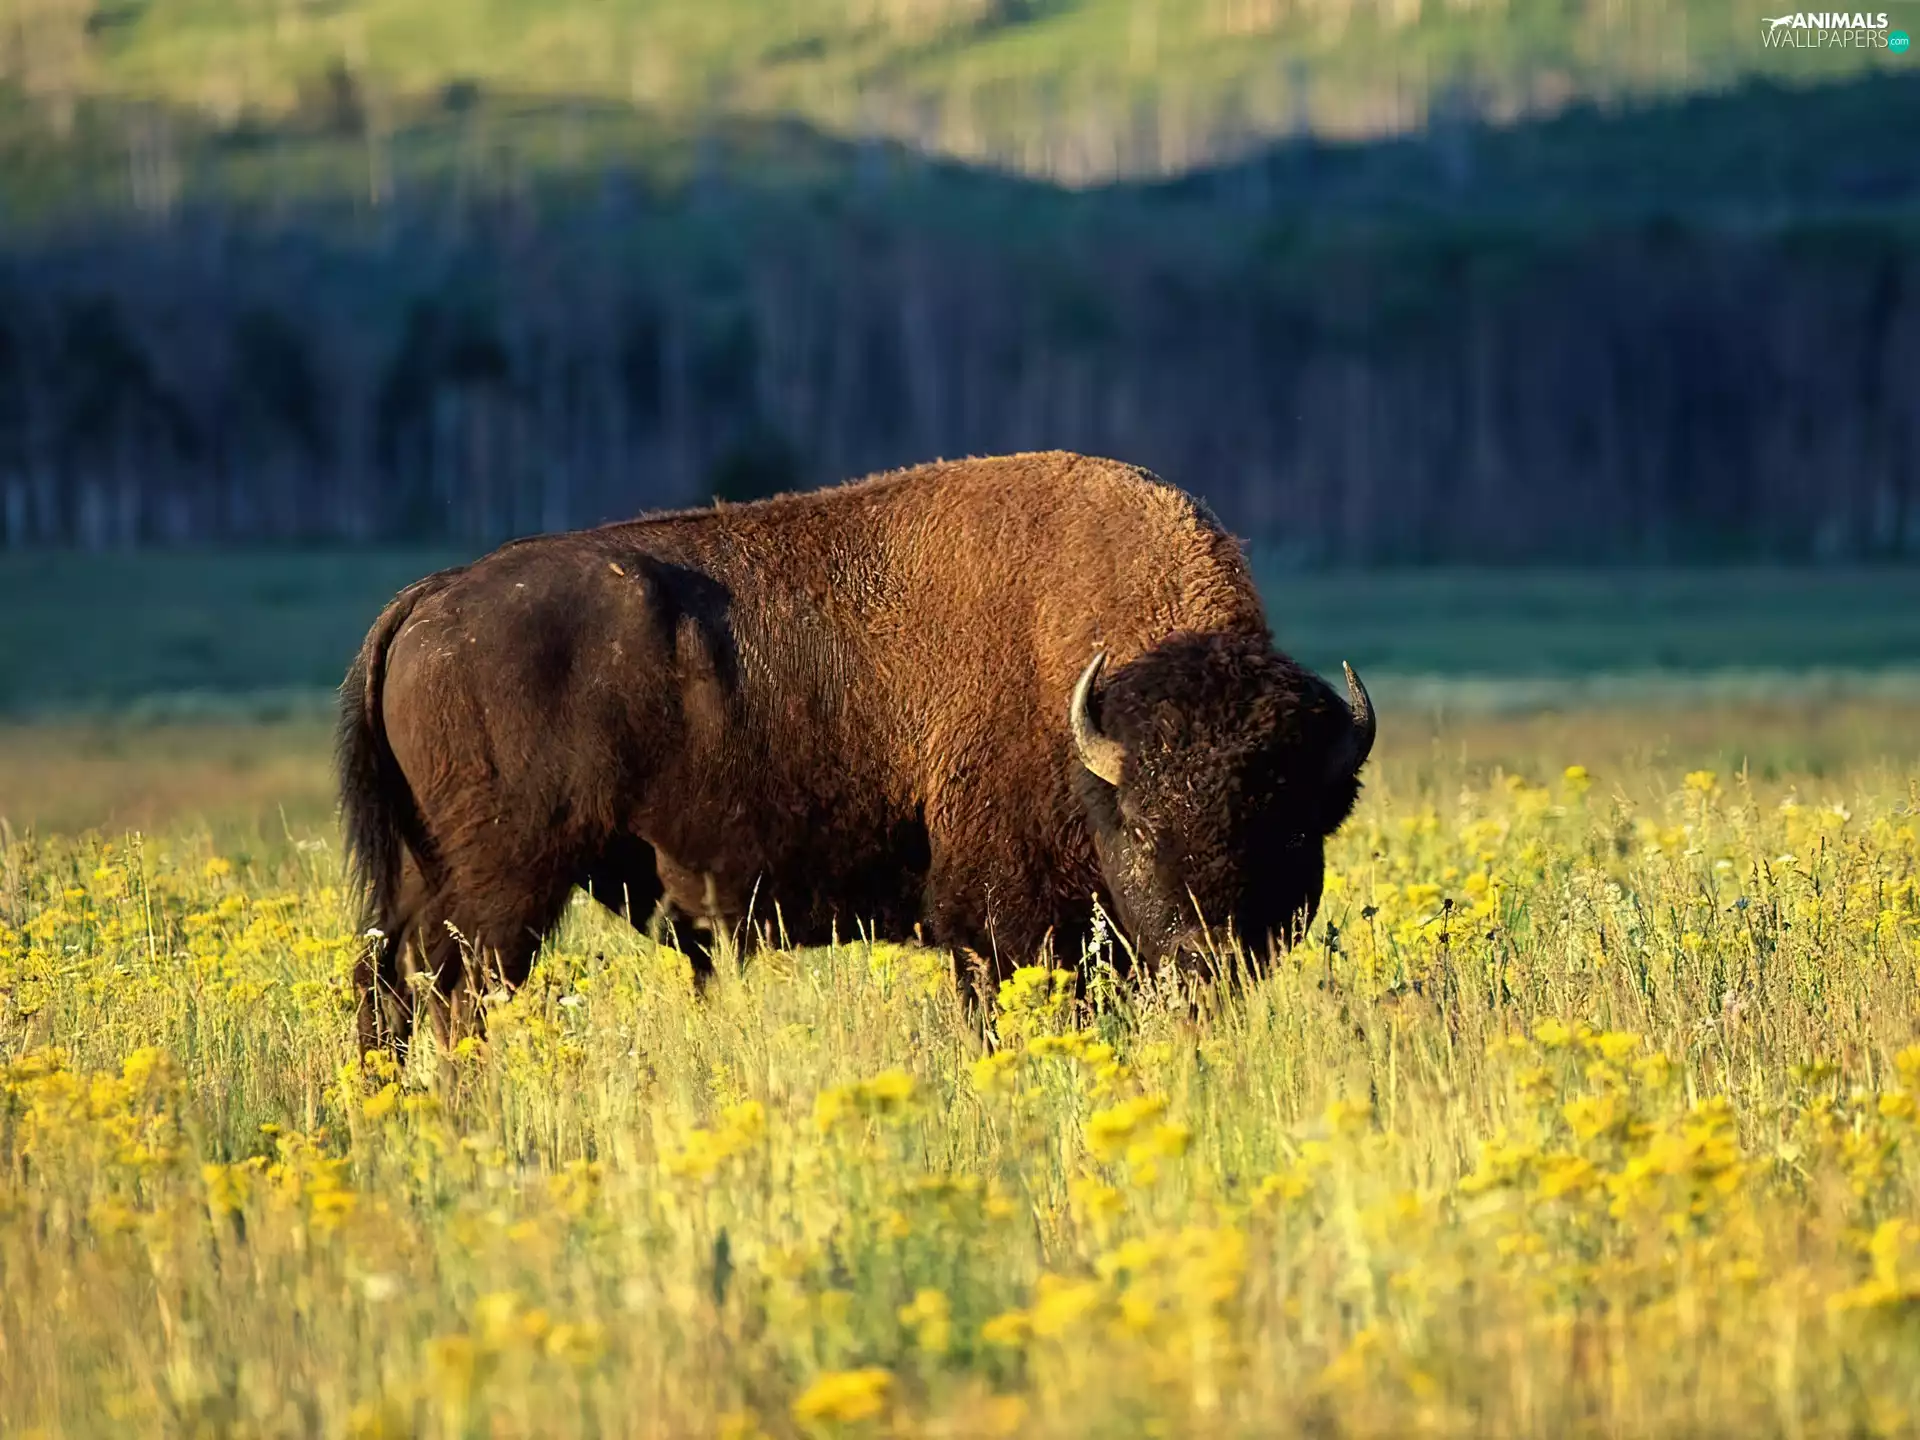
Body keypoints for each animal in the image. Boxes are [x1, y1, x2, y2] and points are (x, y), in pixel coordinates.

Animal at [338, 451, 1375, 1056]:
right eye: (1146, 826)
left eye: (1290, 828)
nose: (1211, 957)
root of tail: (431, 597)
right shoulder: (1002, 924)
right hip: (504, 884)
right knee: (455, 992)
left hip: (429, 875)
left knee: (389, 984)